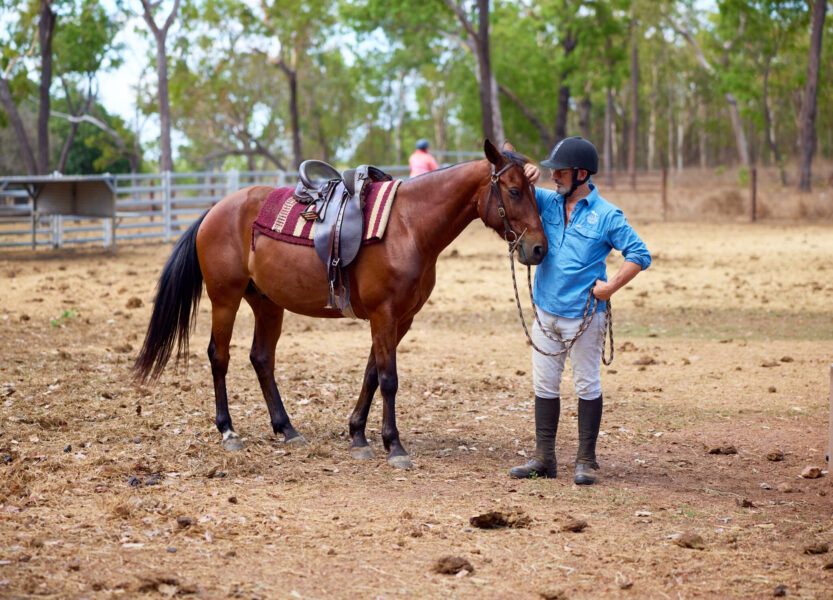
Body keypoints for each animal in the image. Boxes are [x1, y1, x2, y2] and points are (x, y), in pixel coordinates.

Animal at [133, 139, 547, 469]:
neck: (409, 225)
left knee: (261, 358)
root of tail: (215, 210)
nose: (539, 249)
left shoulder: (401, 319)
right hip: (225, 298)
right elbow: (389, 379)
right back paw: (229, 431)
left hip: (267, 303)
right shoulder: (384, 315)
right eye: (513, 191)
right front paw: (394, 446)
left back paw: (287, 429)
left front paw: (358, 435)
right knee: (219, 357)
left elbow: (371, 375)